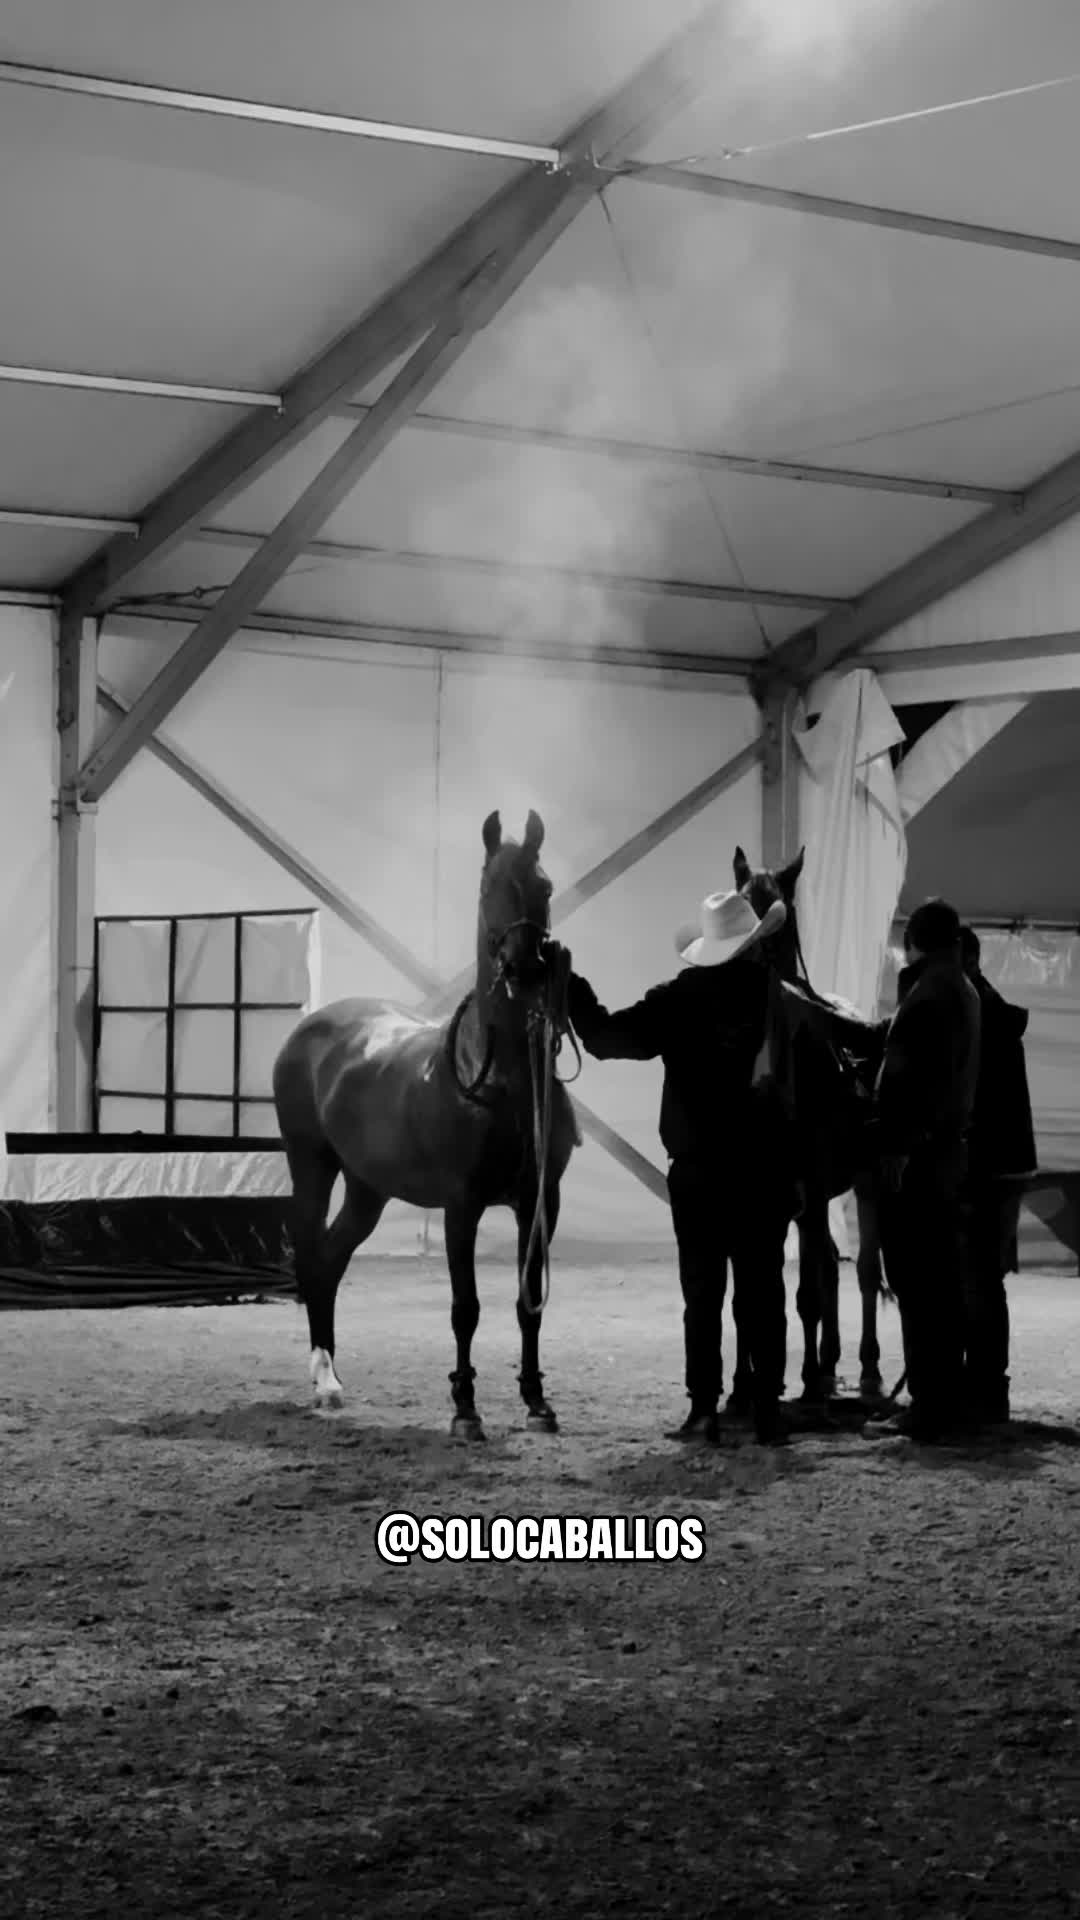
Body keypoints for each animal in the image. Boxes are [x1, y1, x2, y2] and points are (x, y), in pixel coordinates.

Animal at [272, 808, 581, 1437]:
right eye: (489, 889)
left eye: (544, 887)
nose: (524, 967)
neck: (501, 1078)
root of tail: (309, 1031)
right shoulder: (461, 1206)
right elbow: (466, 1308)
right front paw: (465, 1409)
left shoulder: (541, 1202)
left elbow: (528, 1301)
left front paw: (537, 1402)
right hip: (311, 1166)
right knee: (314, 1255)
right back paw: (324, 1380)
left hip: (367, 1189)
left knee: (333, 1259)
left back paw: (334, 1376)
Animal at [732, 845, 889, 1405]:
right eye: (738, 903)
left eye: (779, 917)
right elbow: (755, 1291)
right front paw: (749, 1381)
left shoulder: (815, 1188)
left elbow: (807, 1291)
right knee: (828, 1269)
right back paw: (825, 1363)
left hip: (862, 1183)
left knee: (860, 1271)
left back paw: (864, 1368)